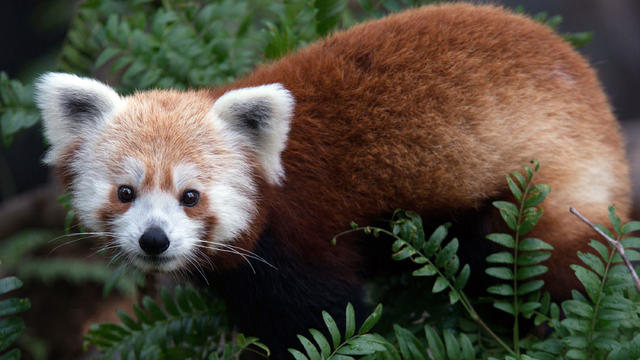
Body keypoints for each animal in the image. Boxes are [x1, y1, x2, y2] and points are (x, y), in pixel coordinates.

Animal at [35, 2, 632, 358]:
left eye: (190, 197)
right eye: (126, 193)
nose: (154, 241)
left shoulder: (302, 236)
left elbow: (326, 316)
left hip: (542, 187)